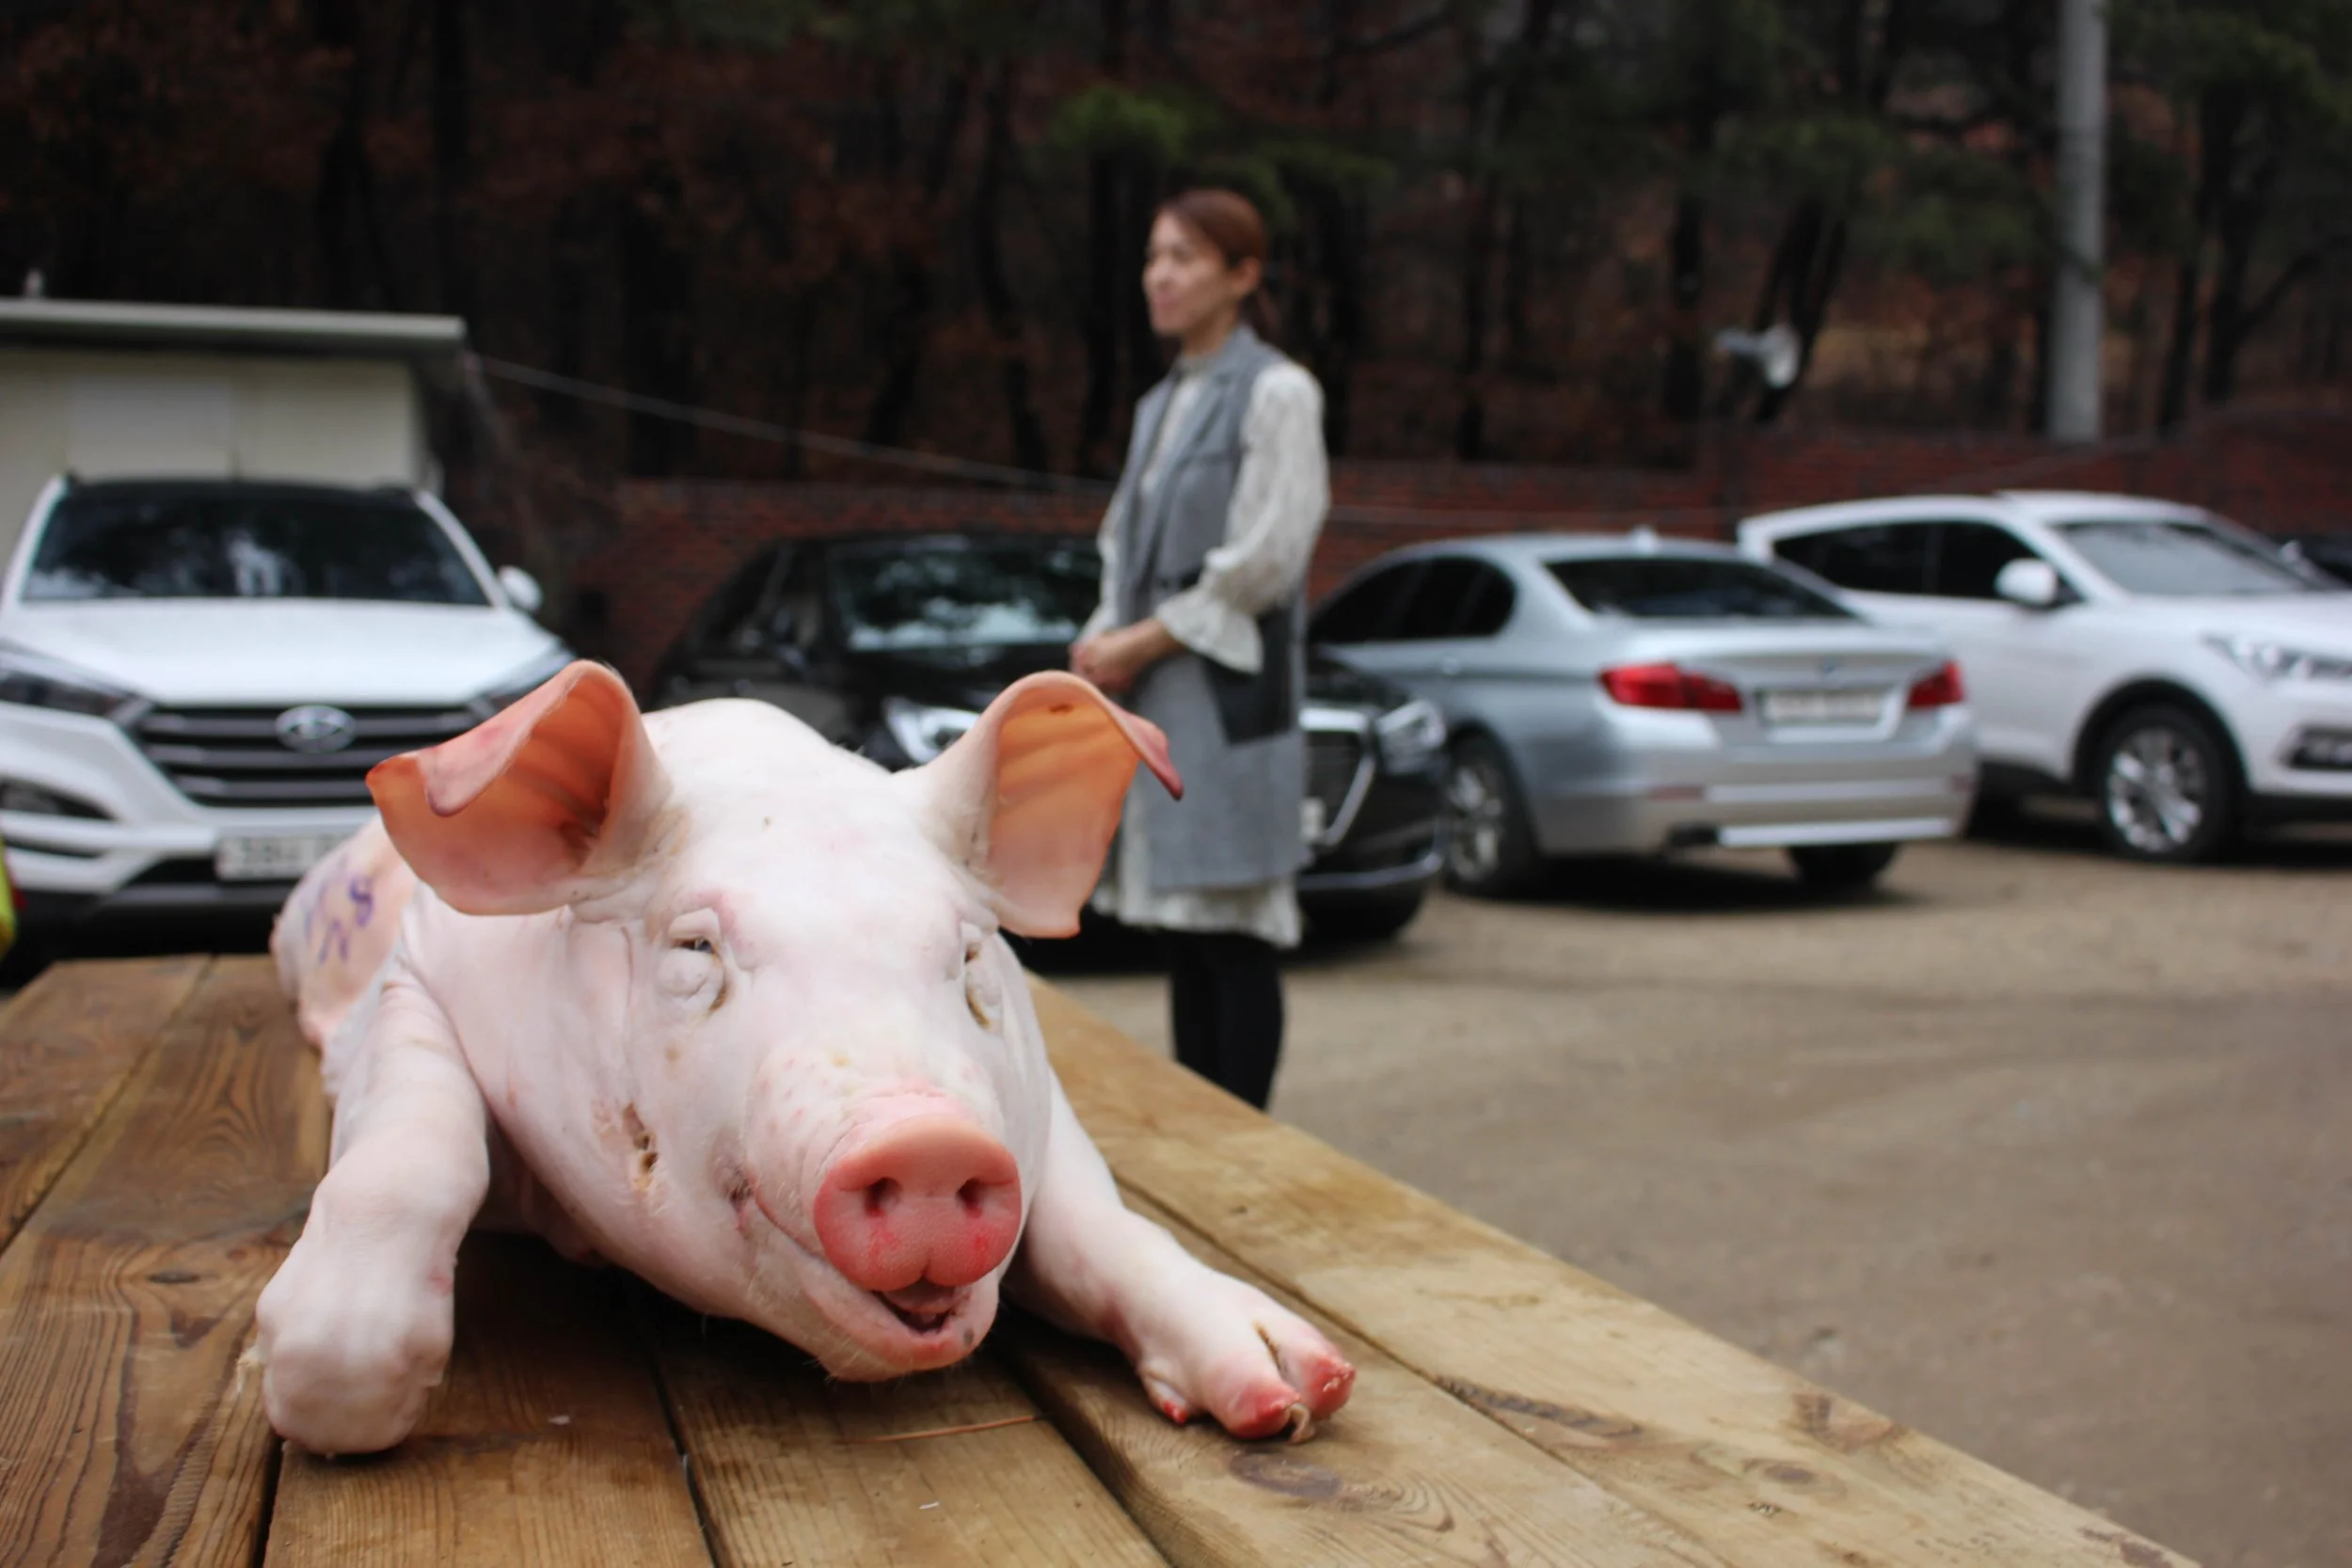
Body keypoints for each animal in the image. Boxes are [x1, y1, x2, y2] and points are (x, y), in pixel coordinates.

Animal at [254, 661, 1355, 1457]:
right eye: (694, 948)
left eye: (969, 954)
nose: (926, 1142)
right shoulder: (409, 982)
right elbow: (414, 1154)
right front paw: (317, 1401)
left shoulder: (1042, 1087)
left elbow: (1094, 1220)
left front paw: (1294, 1397)